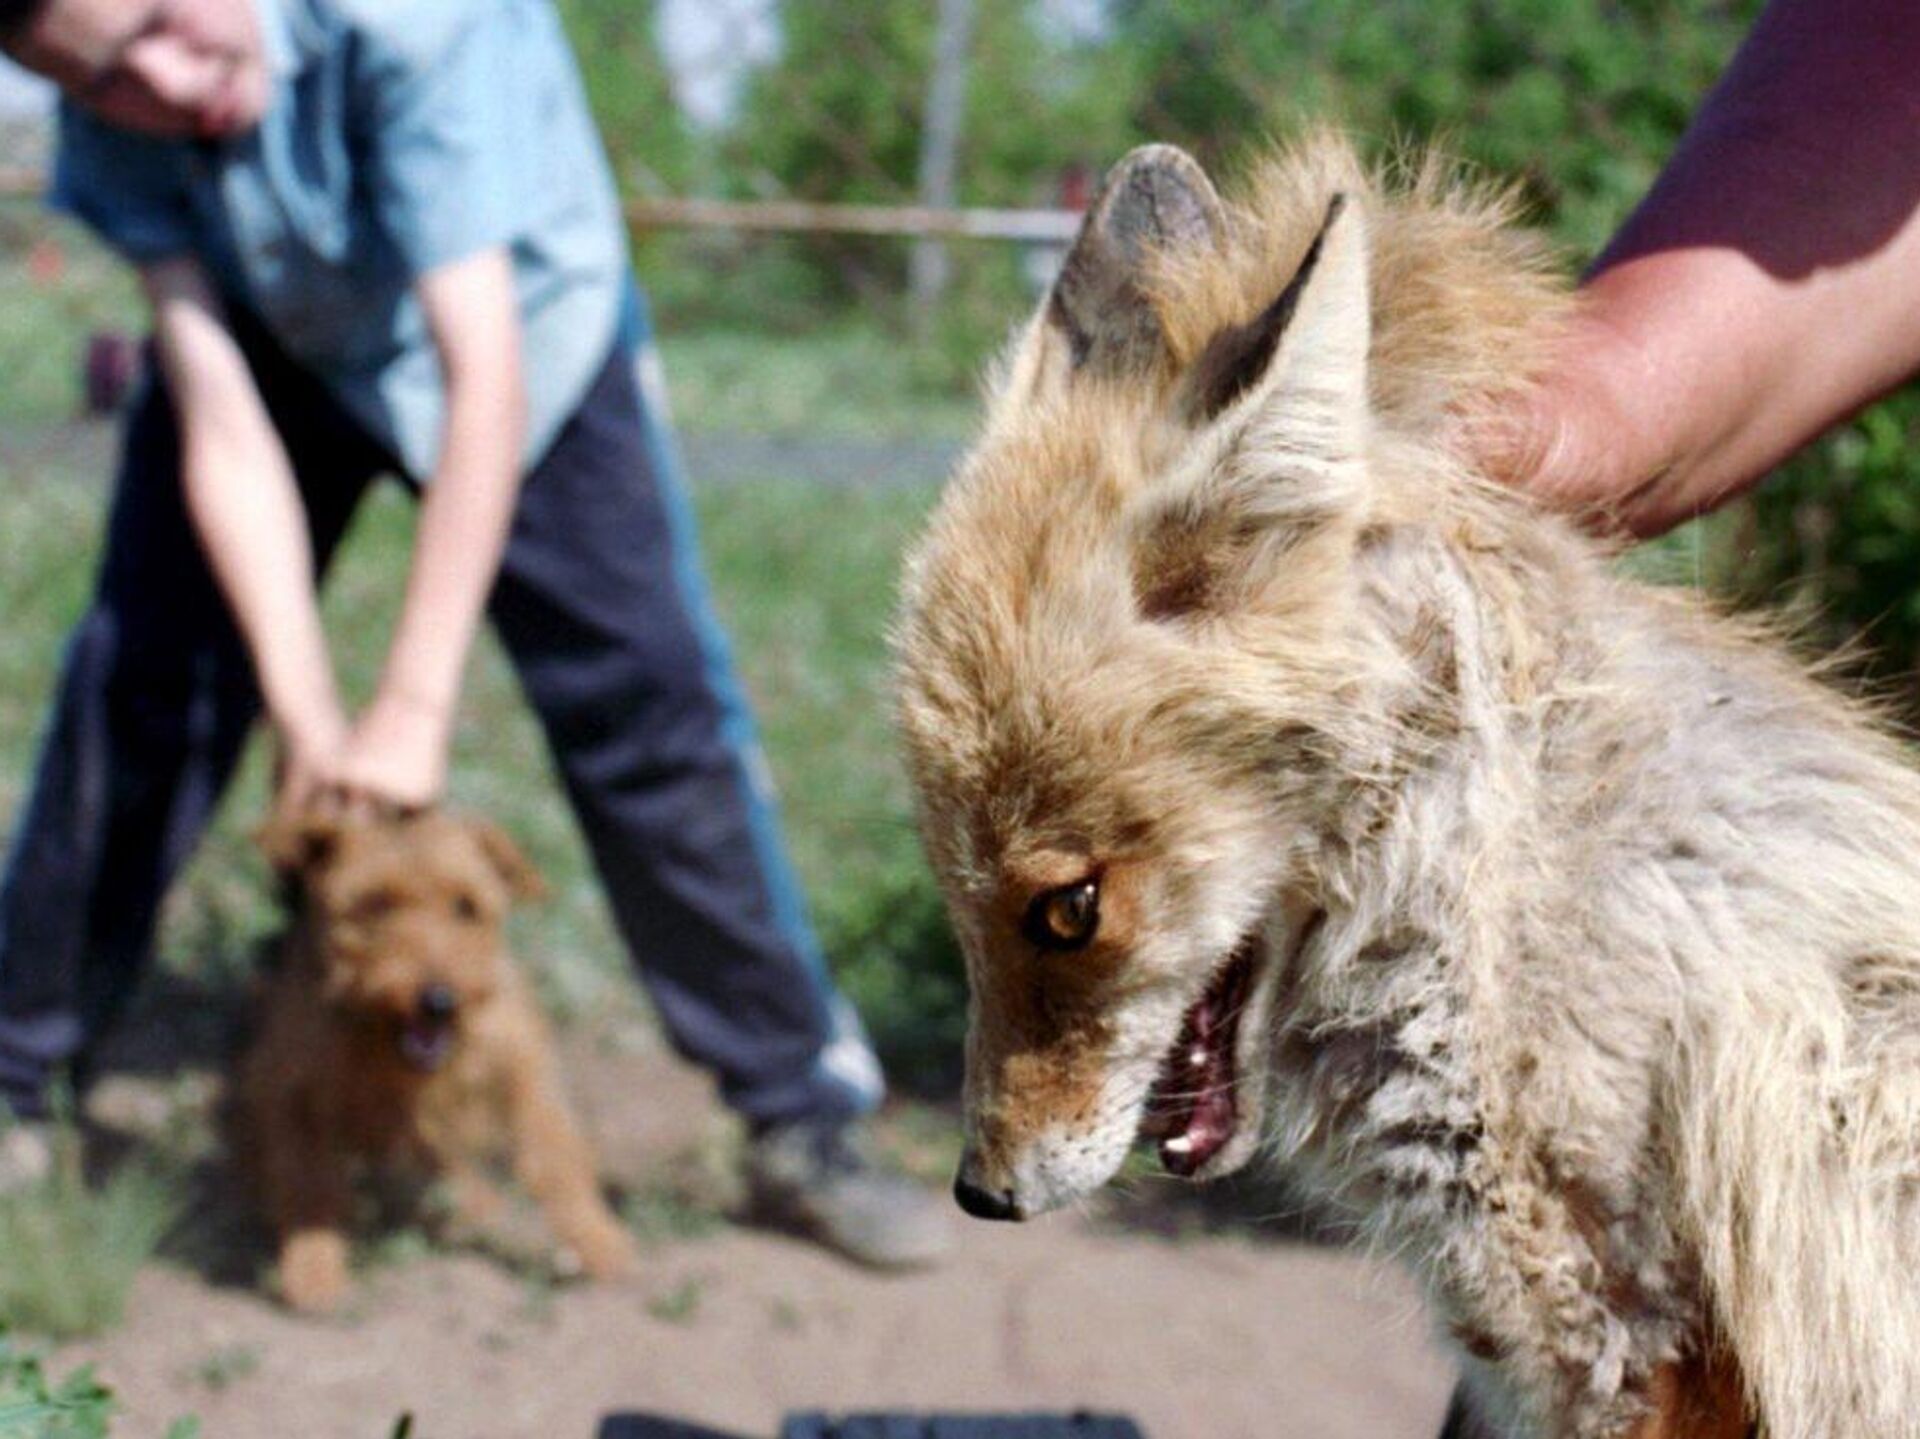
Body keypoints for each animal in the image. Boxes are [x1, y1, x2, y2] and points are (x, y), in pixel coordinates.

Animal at [236, 803, 633, 1306]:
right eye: (376, 903)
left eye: (466, 905)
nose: (439, 1001)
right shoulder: (293, 1086)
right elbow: (310, 1184)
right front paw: (313, 1270)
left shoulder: (519, 1063)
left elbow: (556, 1154)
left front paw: (601, 1242)